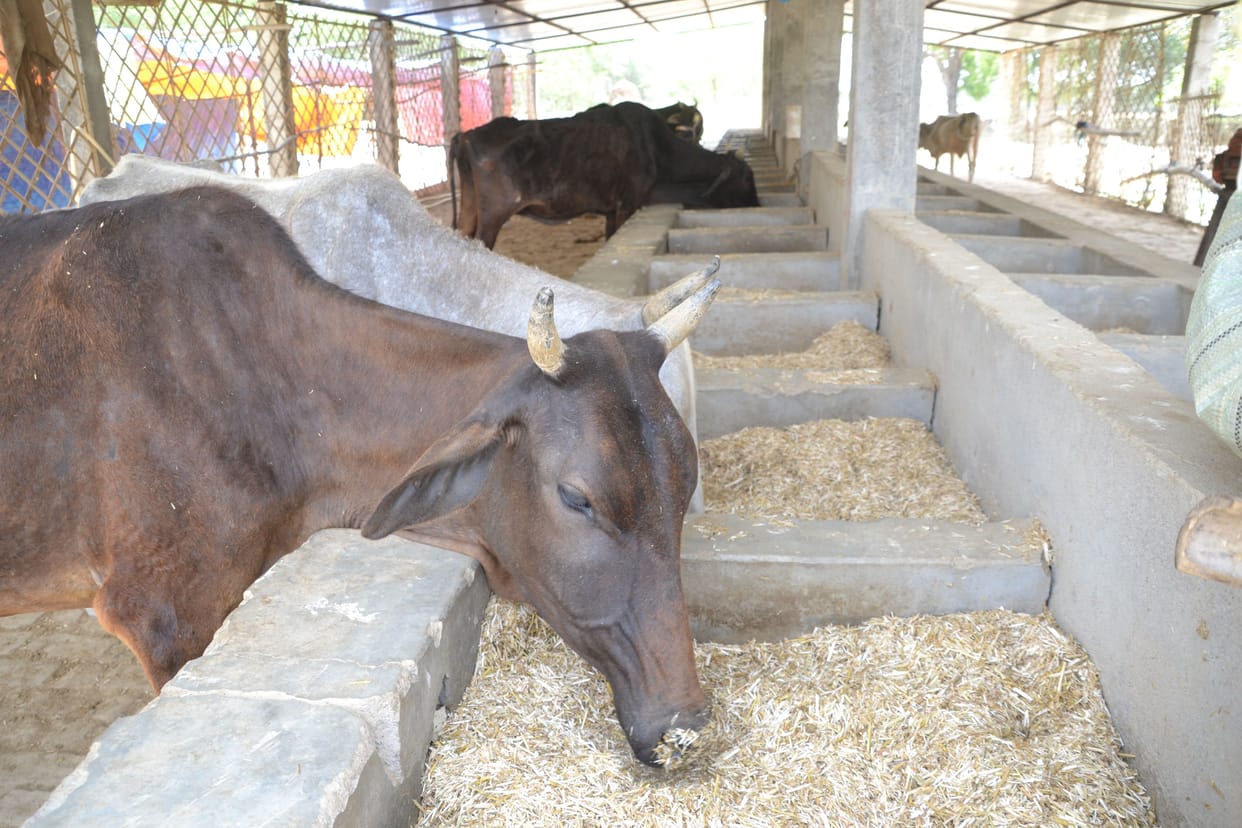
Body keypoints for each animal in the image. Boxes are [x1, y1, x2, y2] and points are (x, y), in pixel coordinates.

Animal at [449, 101, 758, 249]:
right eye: (747, 179)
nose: (757, 205)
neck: (655, 145)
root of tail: (468, 134)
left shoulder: (611, 210)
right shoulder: (627, 204)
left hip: (470, 210)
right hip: (493, 216)